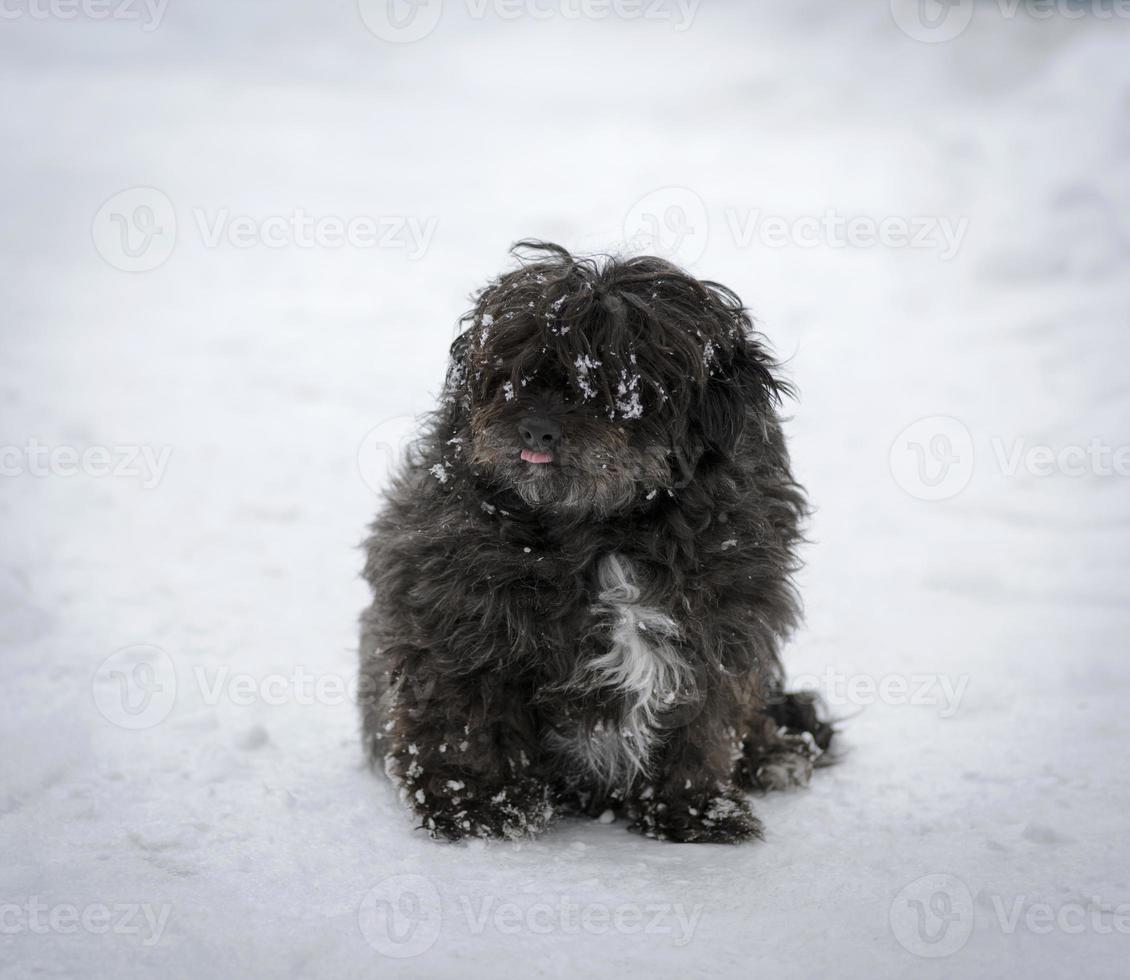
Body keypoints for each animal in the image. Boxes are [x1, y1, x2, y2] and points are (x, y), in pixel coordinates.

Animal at [361, 243, 831, 840]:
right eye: (512, 371)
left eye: (617, 385)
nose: (536, 427)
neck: (607, 526)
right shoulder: (454, 618)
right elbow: (463, 717)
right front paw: (479, 805)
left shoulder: (721, 628)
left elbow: (702, 724)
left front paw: (693, 809)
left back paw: (777, 753)